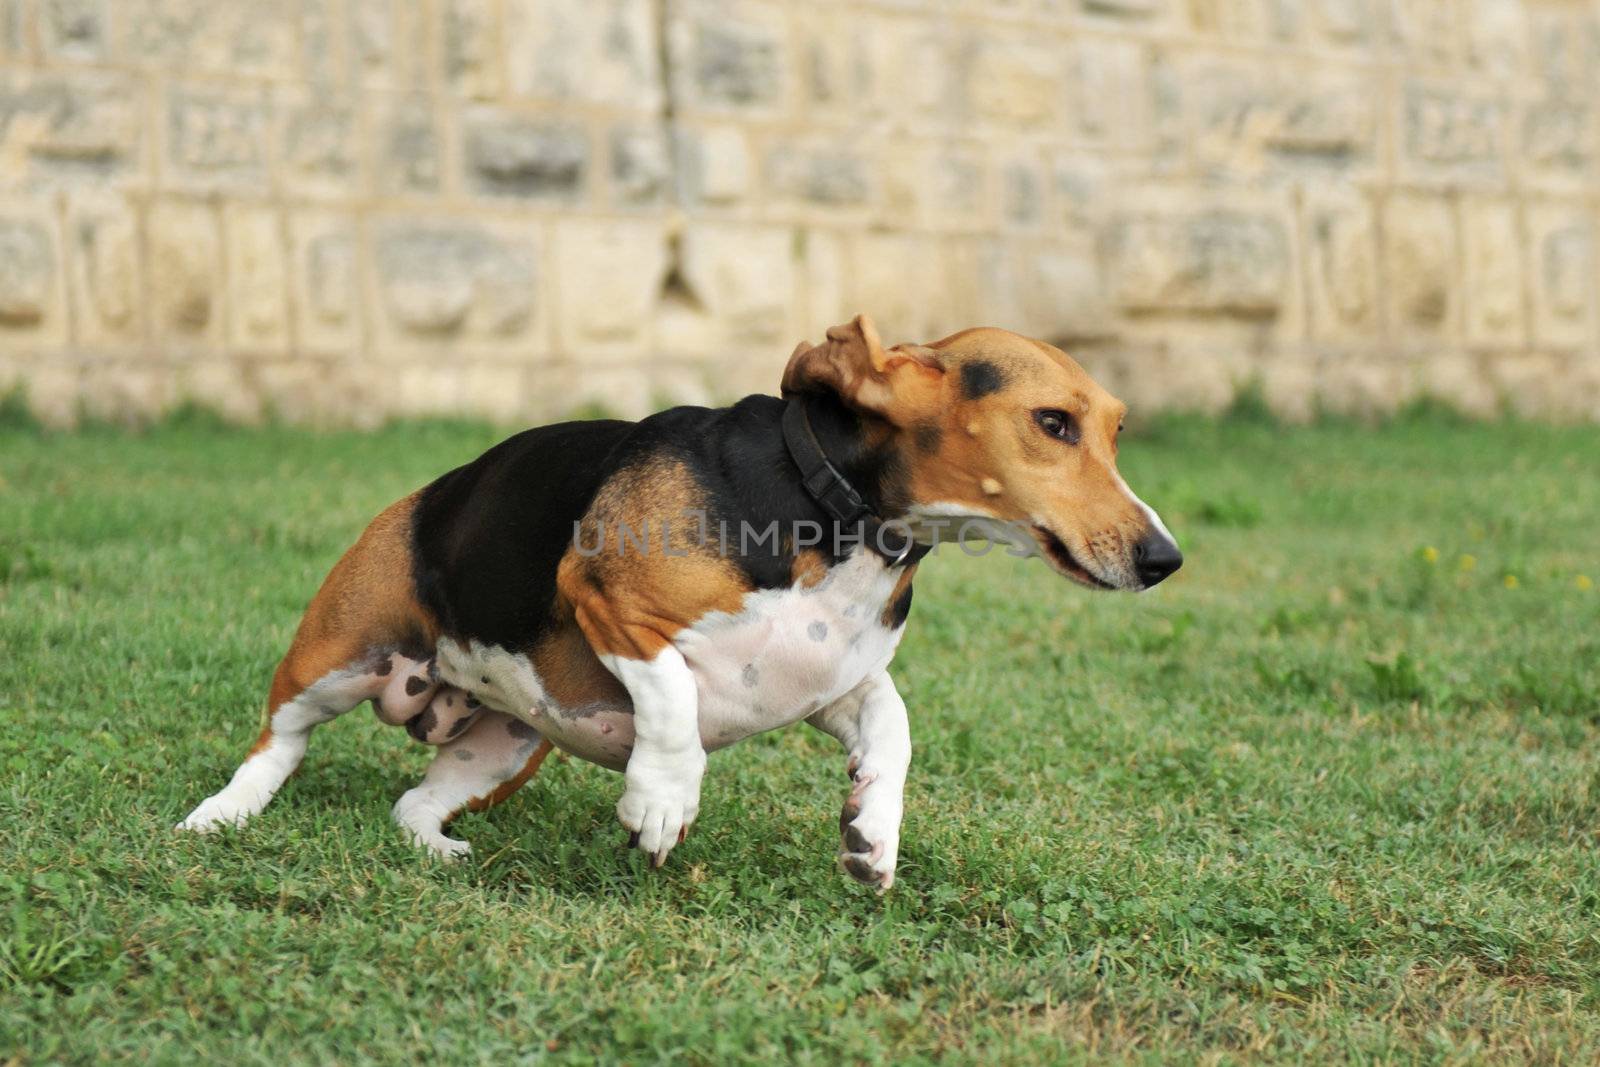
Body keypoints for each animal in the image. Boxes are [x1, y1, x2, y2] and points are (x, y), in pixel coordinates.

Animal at [178, 319, 1177, 895]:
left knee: (410, 804)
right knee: (281, 740)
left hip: (504, 743)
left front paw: (872, 833)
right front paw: (661, 800)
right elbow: (672, 699)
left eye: (1117, 429)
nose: (1164, 557)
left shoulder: (833, 679)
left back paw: (436, 849)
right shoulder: (610, 602)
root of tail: (427, 493)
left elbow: (892, 729)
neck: (838, 515)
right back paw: (222, 815)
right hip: (337, 654)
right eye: (1052, 423)